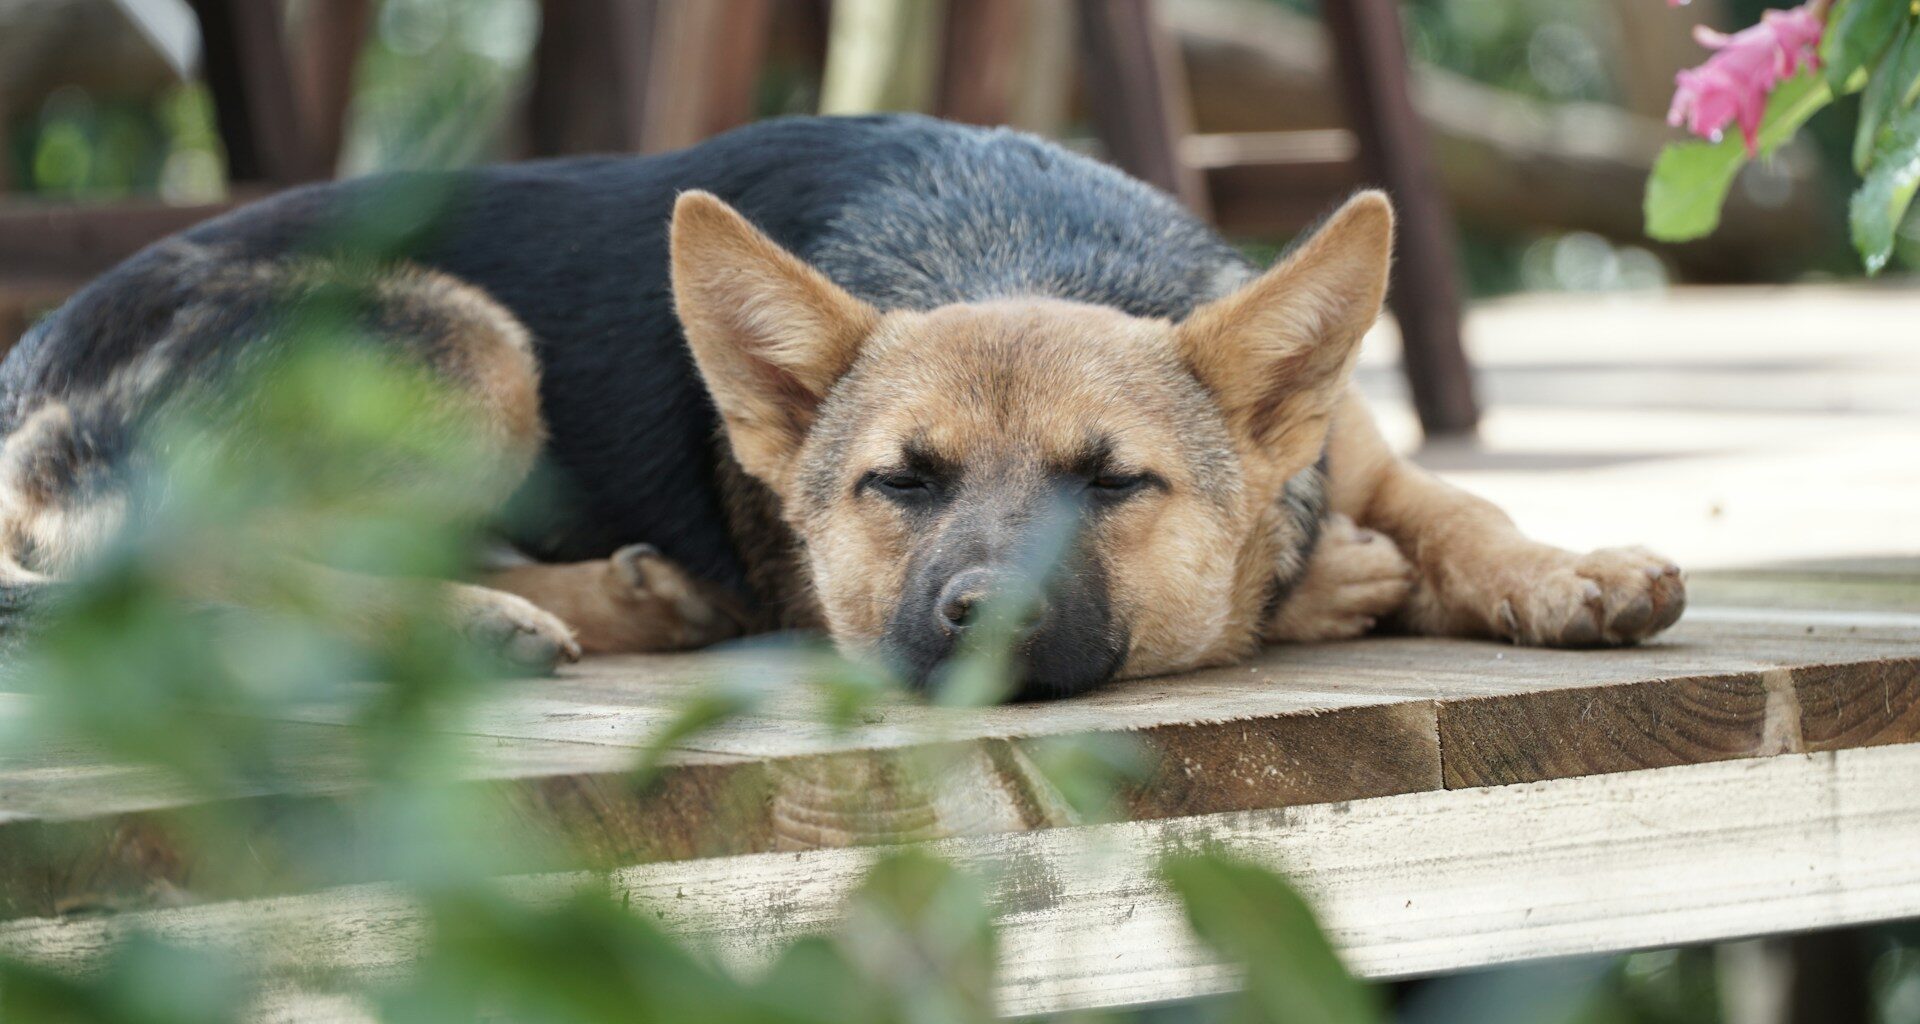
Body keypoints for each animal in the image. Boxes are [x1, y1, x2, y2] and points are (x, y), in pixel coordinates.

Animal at [0, 115, 1681, 699]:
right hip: (469, 345)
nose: (985, 616)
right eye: (900, 483)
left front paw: (1565, 572)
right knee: (194, 570)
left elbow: (1464, 501)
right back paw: (486, 622)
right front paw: (1333, 586)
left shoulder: (1354, 450)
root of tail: (31, 360)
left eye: (1114, 483)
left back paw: (618, 596)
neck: (1013, 240)